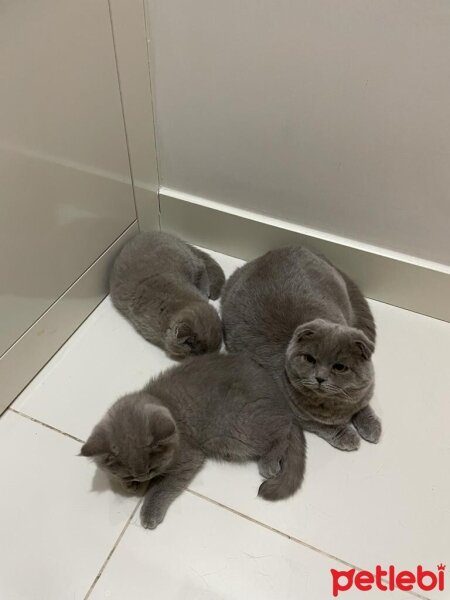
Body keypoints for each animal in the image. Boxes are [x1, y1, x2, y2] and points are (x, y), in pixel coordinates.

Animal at [81, 354, 306, 528]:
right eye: (131, 473)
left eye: (153, 469)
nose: (144, 478)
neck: (162, 401)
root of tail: (281, 398)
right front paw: (130, 484)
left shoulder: (188, 457)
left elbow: (163, 486)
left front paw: (149, 511)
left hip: (237, 428)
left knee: (283, 428)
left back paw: (269, 462)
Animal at [221, 245, 380, 450]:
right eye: (309, 359)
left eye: (339, 367)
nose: (319, 377)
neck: (335, 404)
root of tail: (289, 246)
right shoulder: (301, 416)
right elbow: (325, 427)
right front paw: (348, 436)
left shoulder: (362, 393)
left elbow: (363, 406)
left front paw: (372, 426)